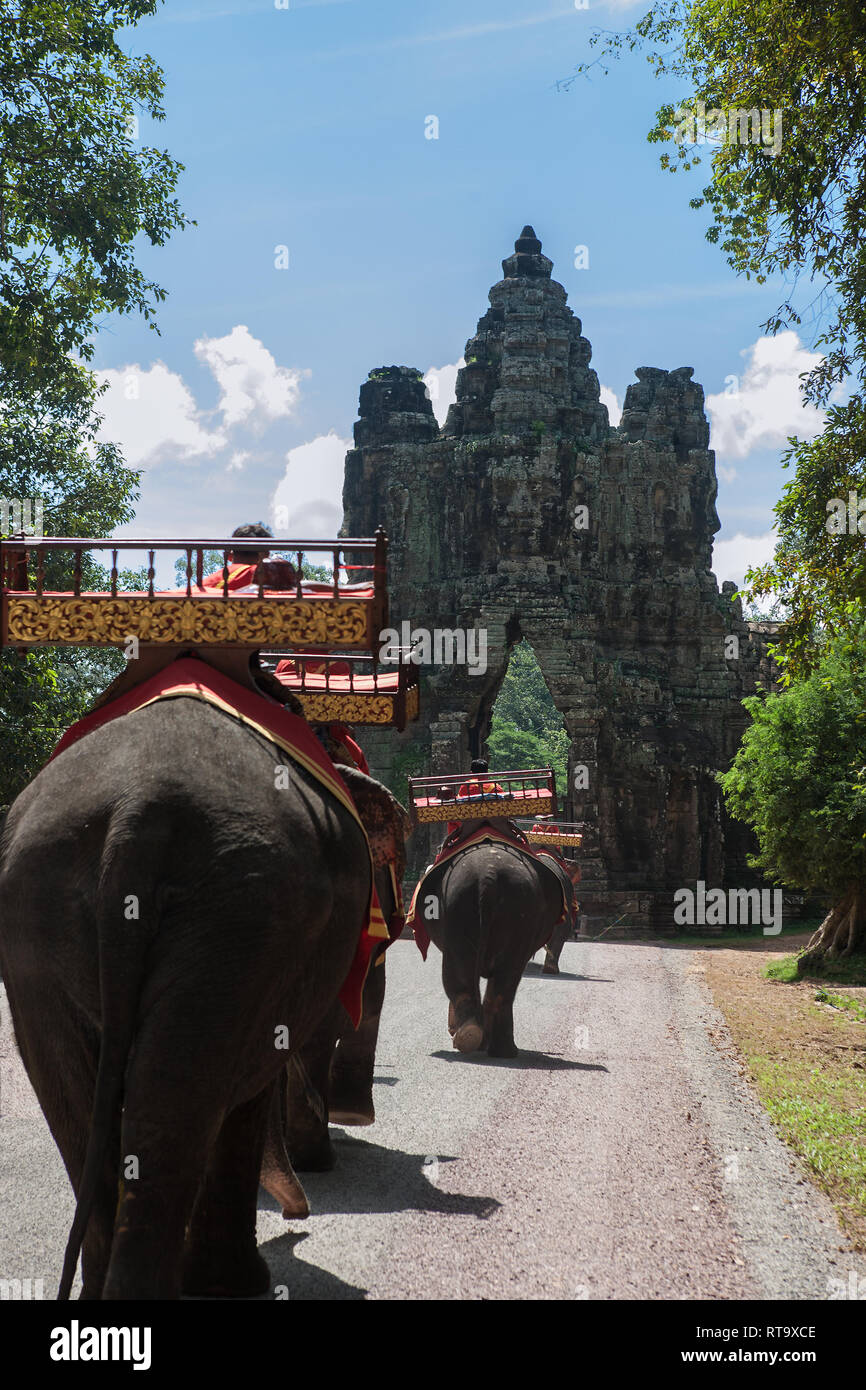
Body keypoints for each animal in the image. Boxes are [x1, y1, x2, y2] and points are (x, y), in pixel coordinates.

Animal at [0, 695, 397, 1301]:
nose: (298, 1216)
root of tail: (135, 815)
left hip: (42, 913)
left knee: (81, 1099)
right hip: (244, 913)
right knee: (186, 1095)